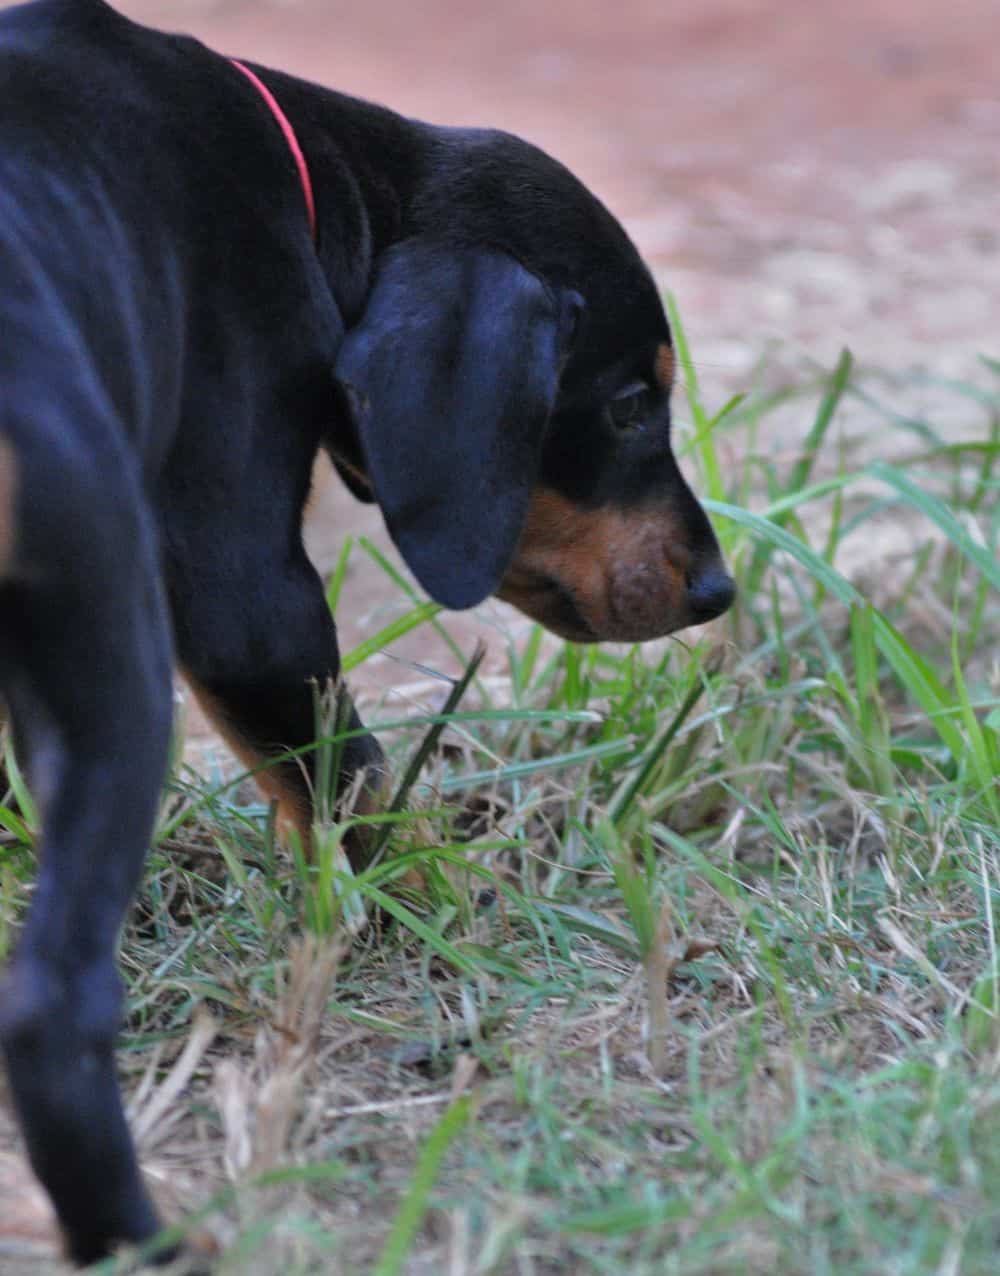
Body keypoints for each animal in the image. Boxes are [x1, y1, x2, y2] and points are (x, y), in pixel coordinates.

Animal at [0, 0, 734, 1260]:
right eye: (631, 406)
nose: (718, 588)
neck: (300, 175)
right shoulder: (247, 591)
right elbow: (361, 789)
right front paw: (445, 915)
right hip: (116, 658)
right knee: (55, 1005)